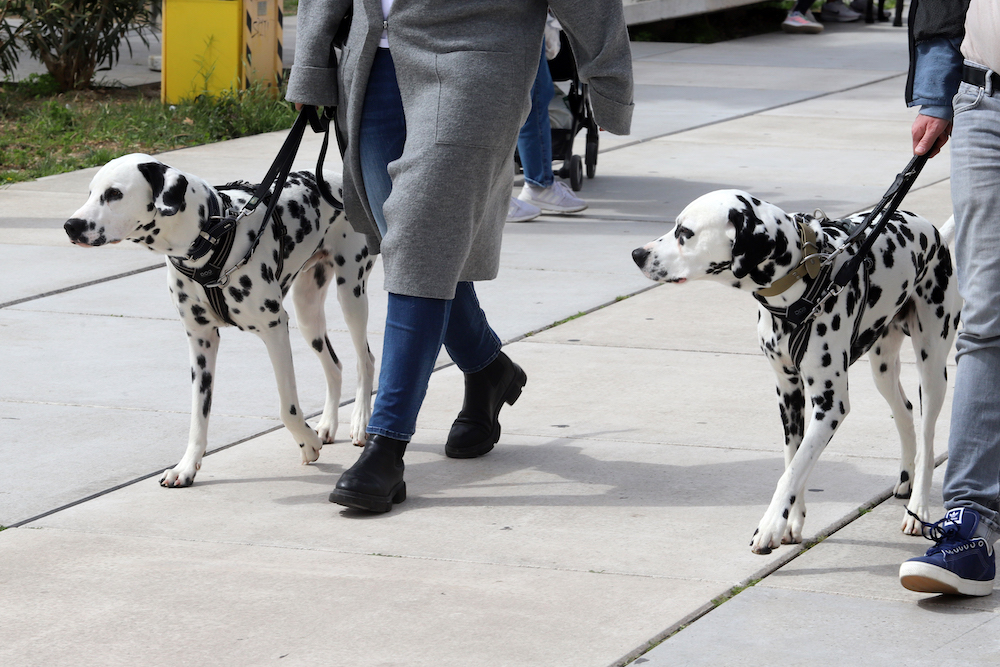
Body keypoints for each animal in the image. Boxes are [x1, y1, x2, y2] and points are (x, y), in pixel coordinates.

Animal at [63, 154, 376, 488]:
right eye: (90, 192)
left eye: (114, 193)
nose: (70, 226)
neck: (211, 236)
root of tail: (336, 179)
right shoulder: (201, 341)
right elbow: (198, 415)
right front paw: (186, 466)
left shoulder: (275, 329)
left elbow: (287, 407)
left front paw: (307, 444)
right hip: (307, 310)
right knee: (335, 366)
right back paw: (328, 424)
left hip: (351, 295)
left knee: (365, 360)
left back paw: (360, 422)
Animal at [632, 190, 960, 556]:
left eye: (685, 233)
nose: (637, 254)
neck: (799, 284)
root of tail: (935, 233)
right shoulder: (788, 392)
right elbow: (795, 460)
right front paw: (791, 522)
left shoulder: (830, 406)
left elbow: (793, 469)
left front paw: (770, 527)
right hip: (882, 367)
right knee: (904, 412)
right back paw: (905, 479)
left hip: (932, 368)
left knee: (929, 438)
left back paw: (918, 509)